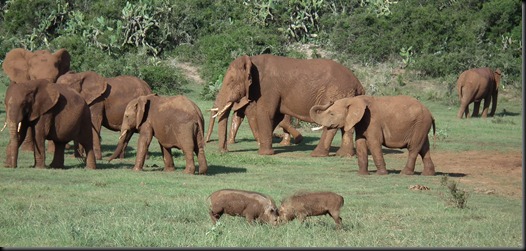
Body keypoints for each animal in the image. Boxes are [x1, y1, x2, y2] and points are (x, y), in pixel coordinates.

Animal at [212, 54, 366, 156]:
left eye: (231, 81)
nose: (224, 151)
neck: (253, 60)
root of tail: (358, 83)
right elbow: (276, 117)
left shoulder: (269, 87)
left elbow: (266, 113)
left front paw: (265, 153)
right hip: (346, 94)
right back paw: (344, 155)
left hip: (337, 92)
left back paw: (317, 154)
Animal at [312, 95, 440, 176]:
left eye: (331, 113)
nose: (330, 100)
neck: (353, 99)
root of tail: (431, 114)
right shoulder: (362, 123)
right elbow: (360, 143)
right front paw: (362, 175)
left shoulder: (373, 121)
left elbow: (374, 143)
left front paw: (381, 174)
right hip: (421, 126)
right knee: (424, 148)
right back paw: (428, 174)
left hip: (420, 124)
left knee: (413, 148)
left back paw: (404, 174)